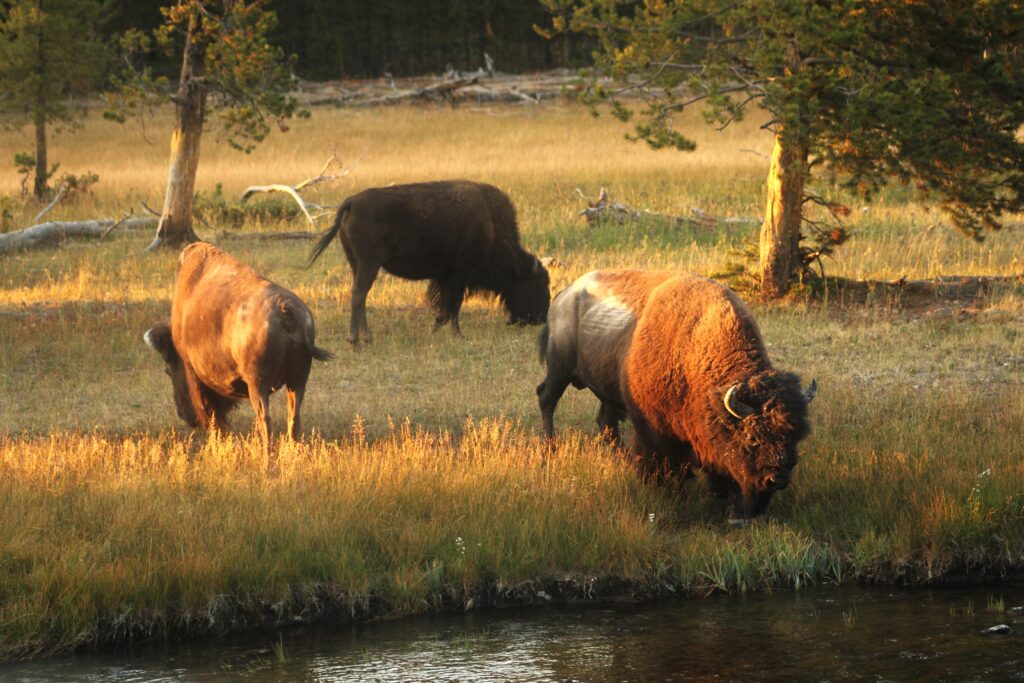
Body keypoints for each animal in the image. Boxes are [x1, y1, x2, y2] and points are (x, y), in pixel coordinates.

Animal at [144, 242, 331, 446]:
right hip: (297, 380)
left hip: (258, 384)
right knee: (293, 416)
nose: (186, 417)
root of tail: (285, 308)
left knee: (264, 418)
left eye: (168, 371)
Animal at [307, 179, 552, 348]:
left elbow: (448, 305)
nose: (542, 317)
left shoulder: (448, 277)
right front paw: (455, 333)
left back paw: (364, 338)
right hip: (369, 264)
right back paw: (357, 341)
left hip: (357, 264)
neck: (490, 224)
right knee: (359, 294)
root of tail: (352, 202)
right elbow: (453, 306)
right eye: (539, 284)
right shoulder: (459, 276)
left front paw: (438, 328)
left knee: (360, 296)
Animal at [536, 270, 815, 520]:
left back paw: (622, 461)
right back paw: (551, 448)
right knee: (546, 398)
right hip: (560, 370)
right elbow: (665, 461)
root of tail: (563, 296)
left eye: (795, 435)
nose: (777, 479)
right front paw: (668, 491)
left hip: (606, 389)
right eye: (752, 438)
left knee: (606, 423)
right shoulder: (654, 427)